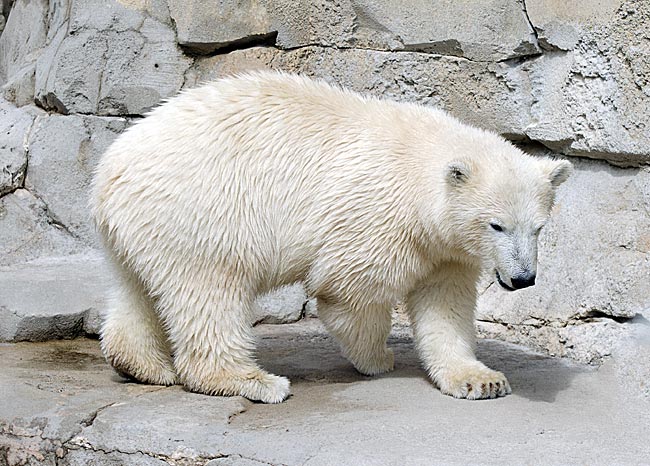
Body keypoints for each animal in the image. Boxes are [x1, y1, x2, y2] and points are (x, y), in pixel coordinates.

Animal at [90, 71, 568, 402]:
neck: (420, 169)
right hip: (202, 211)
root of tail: (109, 171)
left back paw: (143, 367)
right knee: (210, 292)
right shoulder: (376, 216)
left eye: (538, 227)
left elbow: (445, 303)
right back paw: (254, 381)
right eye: (496, 225)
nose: (522, 278)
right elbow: (349, 292)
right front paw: (378, 359)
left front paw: (481, 380)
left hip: (145, 226)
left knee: (137, 286)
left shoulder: (445, 248)